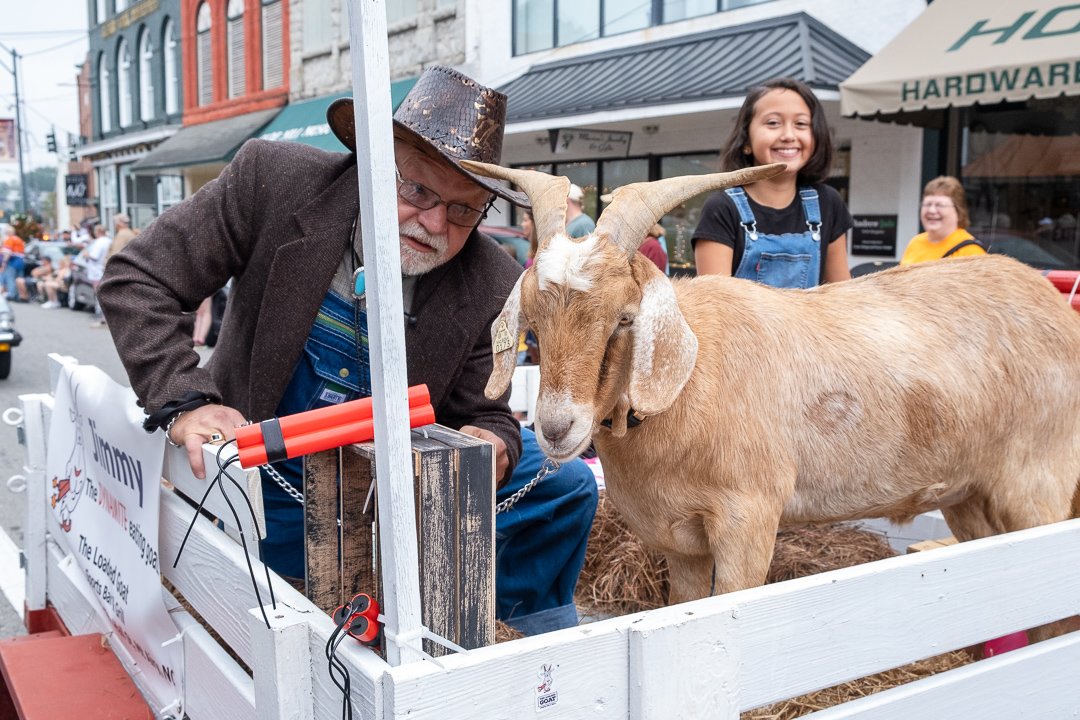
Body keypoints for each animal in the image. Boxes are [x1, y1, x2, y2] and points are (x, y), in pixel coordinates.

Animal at [466, 160, 1080, 604]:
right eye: (533, 324)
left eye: (624, 318)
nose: (555, 428)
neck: (692, 382)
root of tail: (1053, 302)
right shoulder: (680, 542)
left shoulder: (749, 519)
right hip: (970, 493)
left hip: (1038, 480)